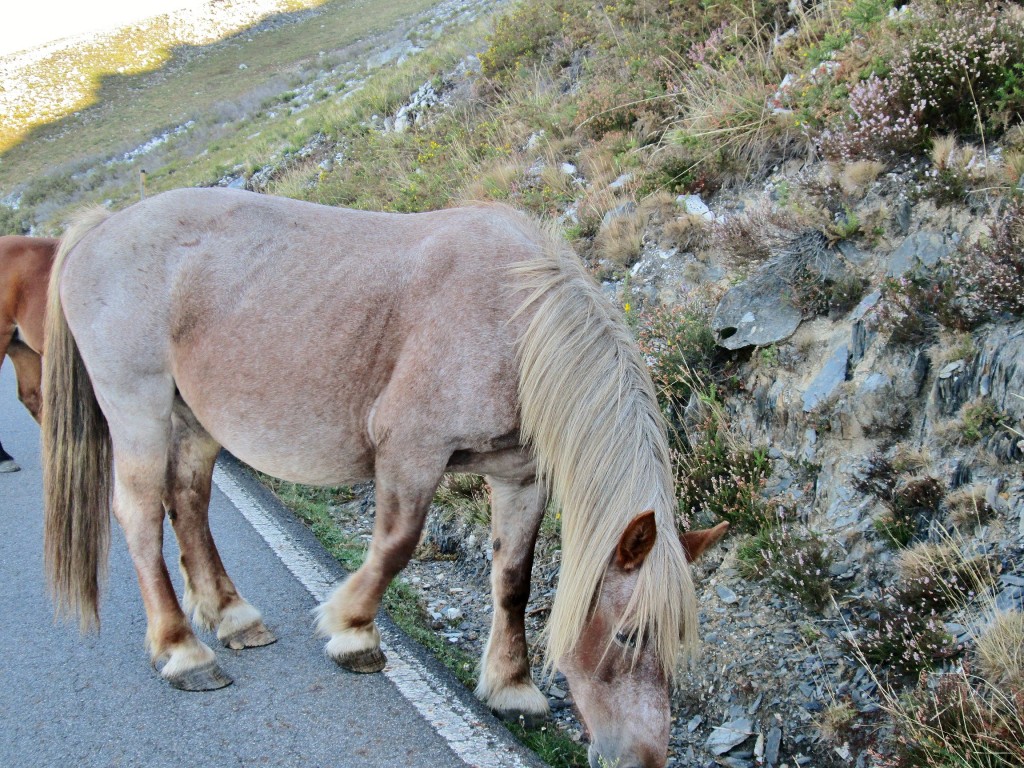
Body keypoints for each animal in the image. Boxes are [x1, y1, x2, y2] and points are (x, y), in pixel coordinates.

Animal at [41, 188, 729, 768]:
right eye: (629, 634)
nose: (642, 757)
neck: (515, 320)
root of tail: (101, 226)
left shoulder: (520, 478)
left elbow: (513, 579)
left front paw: (513, 688)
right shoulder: (411, 453)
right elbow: (395, 548)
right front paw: (354, 632)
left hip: (194, 421)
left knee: (188, 502)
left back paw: (233, 617)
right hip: (139, 410)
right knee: (139, 516)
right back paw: (183, 650)